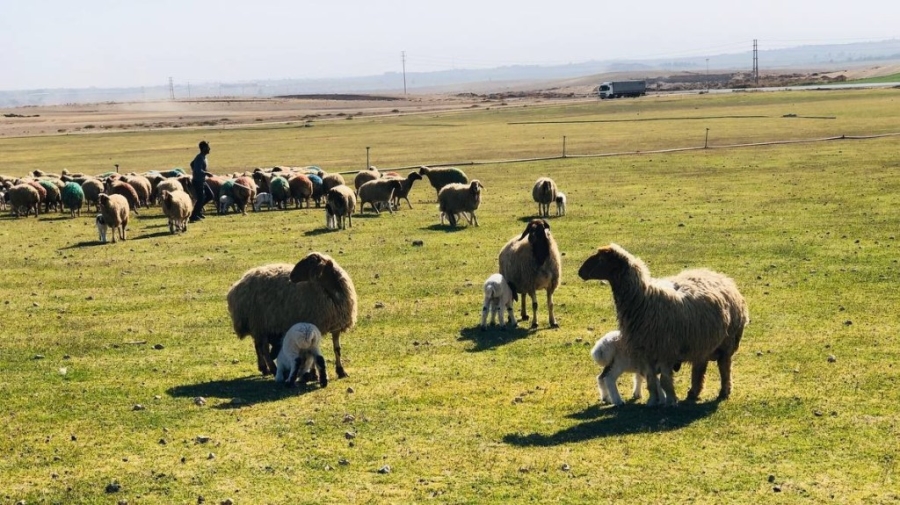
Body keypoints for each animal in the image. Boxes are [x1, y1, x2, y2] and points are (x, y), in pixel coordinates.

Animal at [227, 250, 360, 376]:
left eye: (311, 262)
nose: (292, 275)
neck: (332, 294)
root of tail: (239, 284)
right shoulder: (314, 323)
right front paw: (313, 374)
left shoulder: (336, 326)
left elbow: (337, 349)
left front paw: (341, 371)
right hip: (259, 321)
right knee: (263, 347)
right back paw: (273, 368)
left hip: (259, 324)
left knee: (257, 345)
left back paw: (264, 368)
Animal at [580, 243, 748, 406]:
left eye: (602, 259)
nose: (580, 272)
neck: (645, 299)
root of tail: (721, 277)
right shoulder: (645, 352)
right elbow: (651, 381)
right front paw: (653, 401)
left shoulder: (666, 350)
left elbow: (665, 381)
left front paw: (671, 401)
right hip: (701, 343)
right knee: (699, 367)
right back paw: (693, 393)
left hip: (727, 343)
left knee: (724, 368)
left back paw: (724, 392)